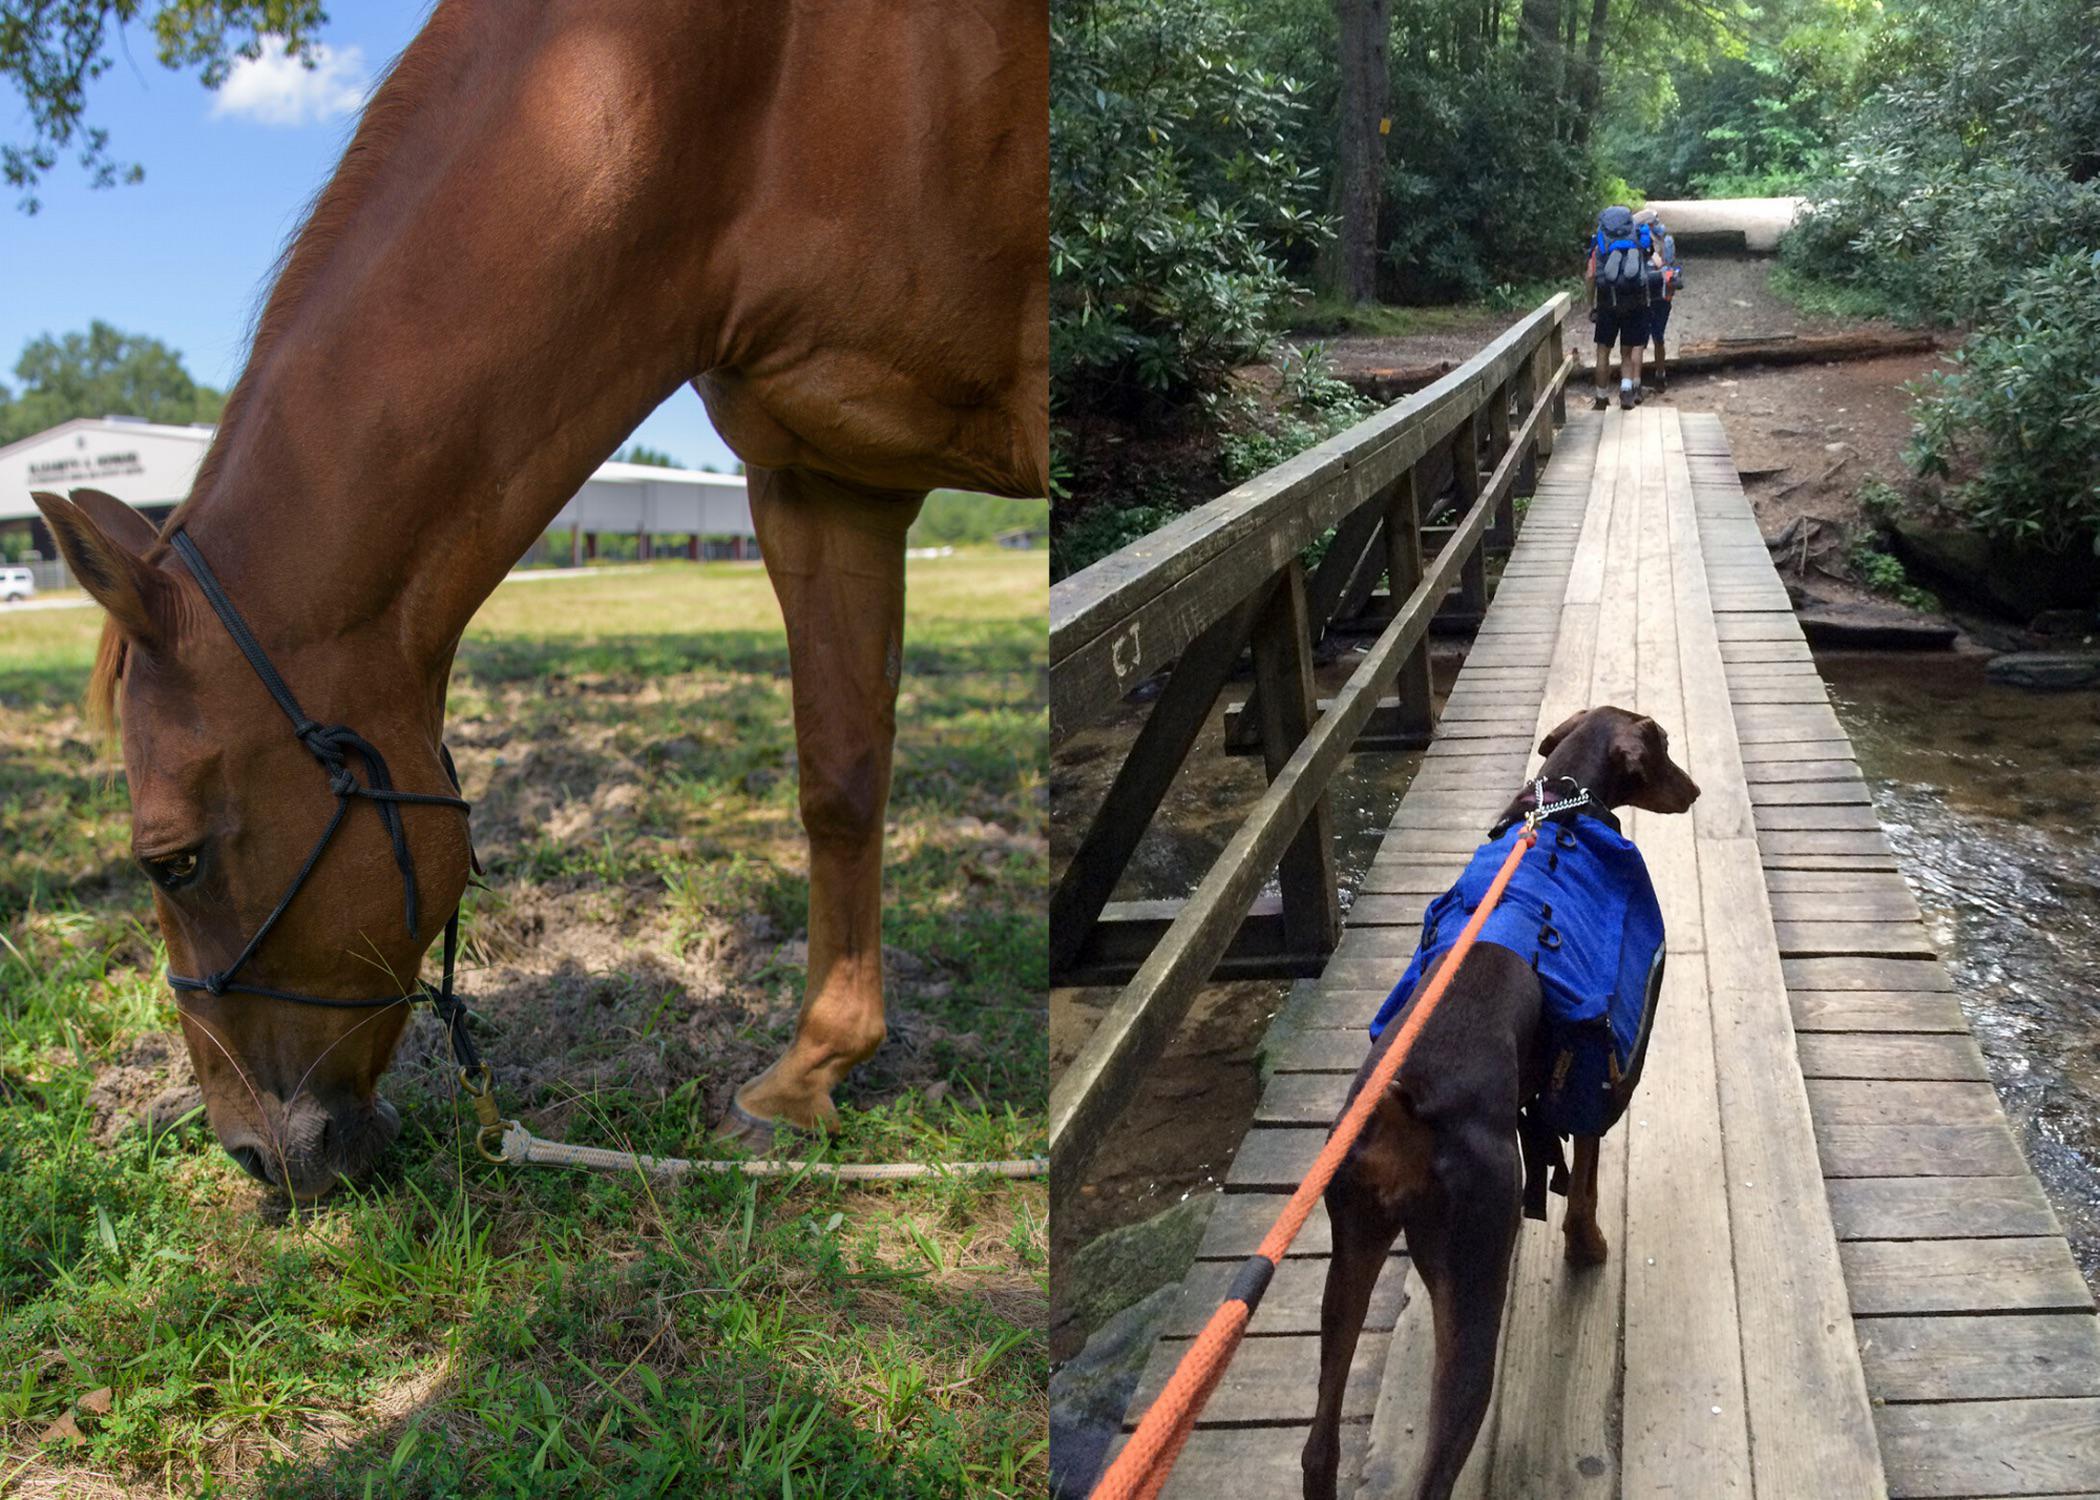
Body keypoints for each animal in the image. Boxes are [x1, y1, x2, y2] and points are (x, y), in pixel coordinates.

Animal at [28, 0, 1045, 1193]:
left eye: (173, 862)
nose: (254, 1157)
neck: (763, 103)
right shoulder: (825, 483)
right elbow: (840, 781)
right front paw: (804, 1082)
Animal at [1302, 705, 1696, 1495]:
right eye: (1663, 746)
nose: (1697, 791)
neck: (1560, 810)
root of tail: (1404, 1113)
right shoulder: (1588, 1083)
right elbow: (1586, 1182)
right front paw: (1588, 1247)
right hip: (1475, 1269)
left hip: (1352, 1248)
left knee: (1318, 1446)